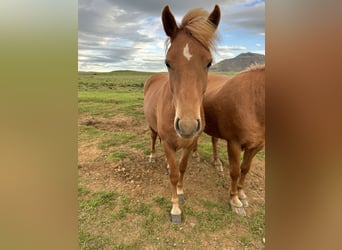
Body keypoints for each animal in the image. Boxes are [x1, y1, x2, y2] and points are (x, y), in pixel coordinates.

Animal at [143, 4, 220, 223]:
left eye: (209, 62)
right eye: (168, 62)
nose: (187, 126)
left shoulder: (190, 143)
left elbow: (182, 168)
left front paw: (180, 192)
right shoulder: (169, 144)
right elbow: (174, 175)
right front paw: (175, 208)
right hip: (152, 127)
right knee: (154, 139)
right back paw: (152, 156)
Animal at [200, 64, 264, 215]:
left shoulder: (256, 146)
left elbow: (245, 169)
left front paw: (241, 194)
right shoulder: (234, 144)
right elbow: (235, 172)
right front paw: (235, 201)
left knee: (214, 141)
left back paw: (217, 163)